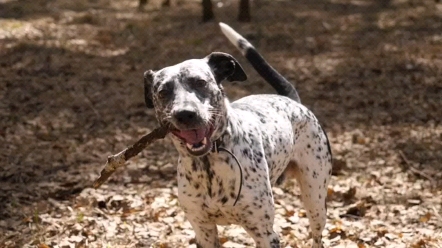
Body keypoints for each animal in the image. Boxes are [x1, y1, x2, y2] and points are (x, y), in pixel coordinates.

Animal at [143, 22, 334, 247]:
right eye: (163, 92)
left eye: (200, 82)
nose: (185, 114)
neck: (208, 164)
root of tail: (293, 101)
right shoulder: (203, 231)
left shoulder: (265, 233)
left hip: (315, 199)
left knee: (317, 235)